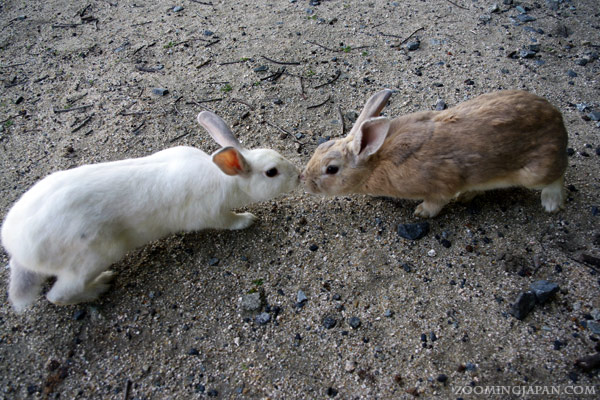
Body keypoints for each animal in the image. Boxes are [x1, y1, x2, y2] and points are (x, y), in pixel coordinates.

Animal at [0, 111, 300, 310]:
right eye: (271, 172)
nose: (298, 175)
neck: (224, 178)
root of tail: (19, 251)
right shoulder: (212, 214)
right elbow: (230, 221)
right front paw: (248, 219)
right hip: (93, 256)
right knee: (59, 295)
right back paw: (102, 284)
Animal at [302, 89, 568, 217]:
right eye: (320, 147)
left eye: (331, 169)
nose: (305, 181)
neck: (376, 161)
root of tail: (557, 121)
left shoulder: (440, 184)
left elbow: (436, 201)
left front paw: (421, 212)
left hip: (535, 172)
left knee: (557, 176)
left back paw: (551, 203)